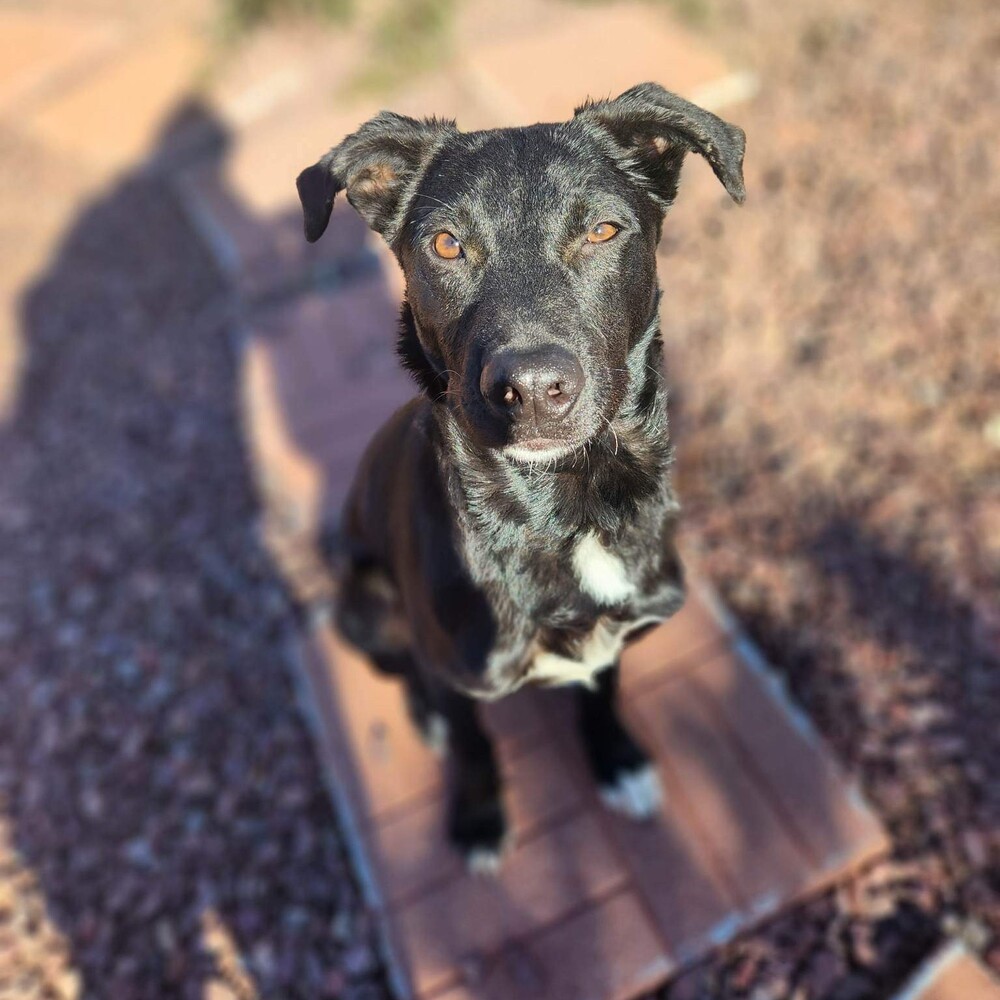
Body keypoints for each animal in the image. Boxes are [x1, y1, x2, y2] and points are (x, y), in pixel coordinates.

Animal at [294, 82, 744, 872]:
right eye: (446, 244)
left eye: (602, 231)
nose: (532, 390)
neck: (566, 508)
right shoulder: (458, 669)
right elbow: (474, 743)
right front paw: (478, 816)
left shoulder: (613, 635)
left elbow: (603, 687)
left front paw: (616, 757)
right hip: (365, 606)